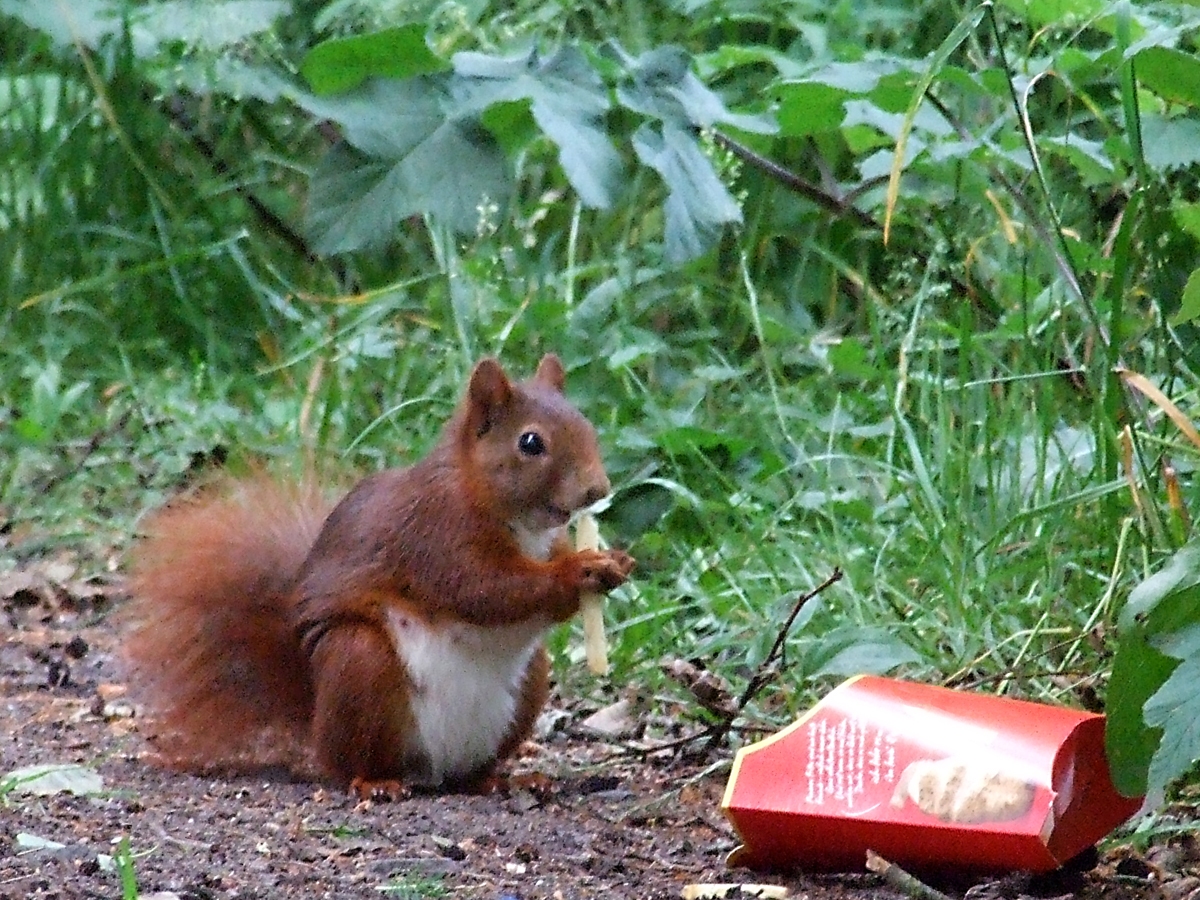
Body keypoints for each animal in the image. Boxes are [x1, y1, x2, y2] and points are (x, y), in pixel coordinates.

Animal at [127, 357, 638, 796]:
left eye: (587, 426)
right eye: (530, 443)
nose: (597, 489)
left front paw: (615, 562)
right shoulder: (435, 537)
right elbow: (487, 589)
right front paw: (580, 570)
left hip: (528, 682)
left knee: (472, 770)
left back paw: (501, 779)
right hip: (361, 663)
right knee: (351, 760)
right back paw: (376, 782)